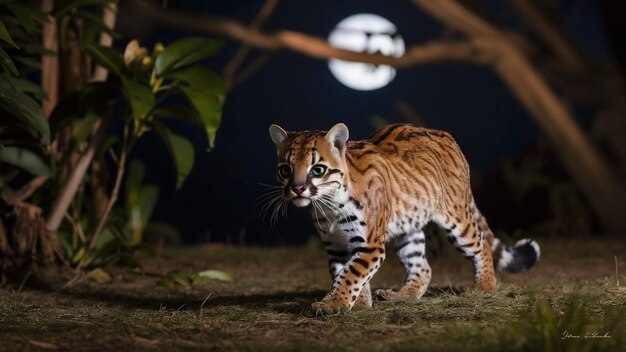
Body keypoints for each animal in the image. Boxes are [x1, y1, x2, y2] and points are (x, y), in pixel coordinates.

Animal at [266, 123, 536, 314]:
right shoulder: (336, 246)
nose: (297, 189)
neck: (329, 204)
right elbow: (344, 273)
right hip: (409, 231)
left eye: (318, 169)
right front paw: (358, 303)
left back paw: (485, 286)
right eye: (285, 169)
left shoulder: (370, 244)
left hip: (457, 218)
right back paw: (403, 295)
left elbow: (352, 273)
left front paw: (334, 305)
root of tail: (446, 134)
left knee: (481, 244)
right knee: (423, 267)